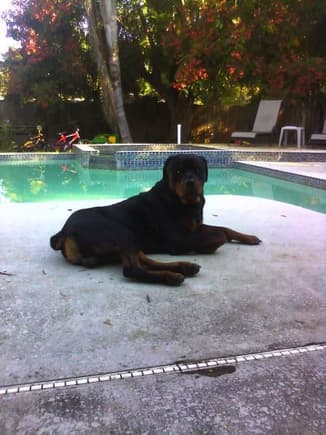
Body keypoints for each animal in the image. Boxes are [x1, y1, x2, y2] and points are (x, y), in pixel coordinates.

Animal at [49, 154, 262, 286]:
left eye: (197, 170)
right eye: (178, 172)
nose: (190, 181)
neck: (183, 202)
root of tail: (63, 232)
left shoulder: (196, 226)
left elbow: (225, 229)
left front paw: (249, 237)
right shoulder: (178, 239)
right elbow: (219, 235)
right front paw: (208, 246)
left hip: (126, 242)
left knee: (143, 259)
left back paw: (184, 267)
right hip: (121, 231)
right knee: (132, 269)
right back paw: (171, 276)